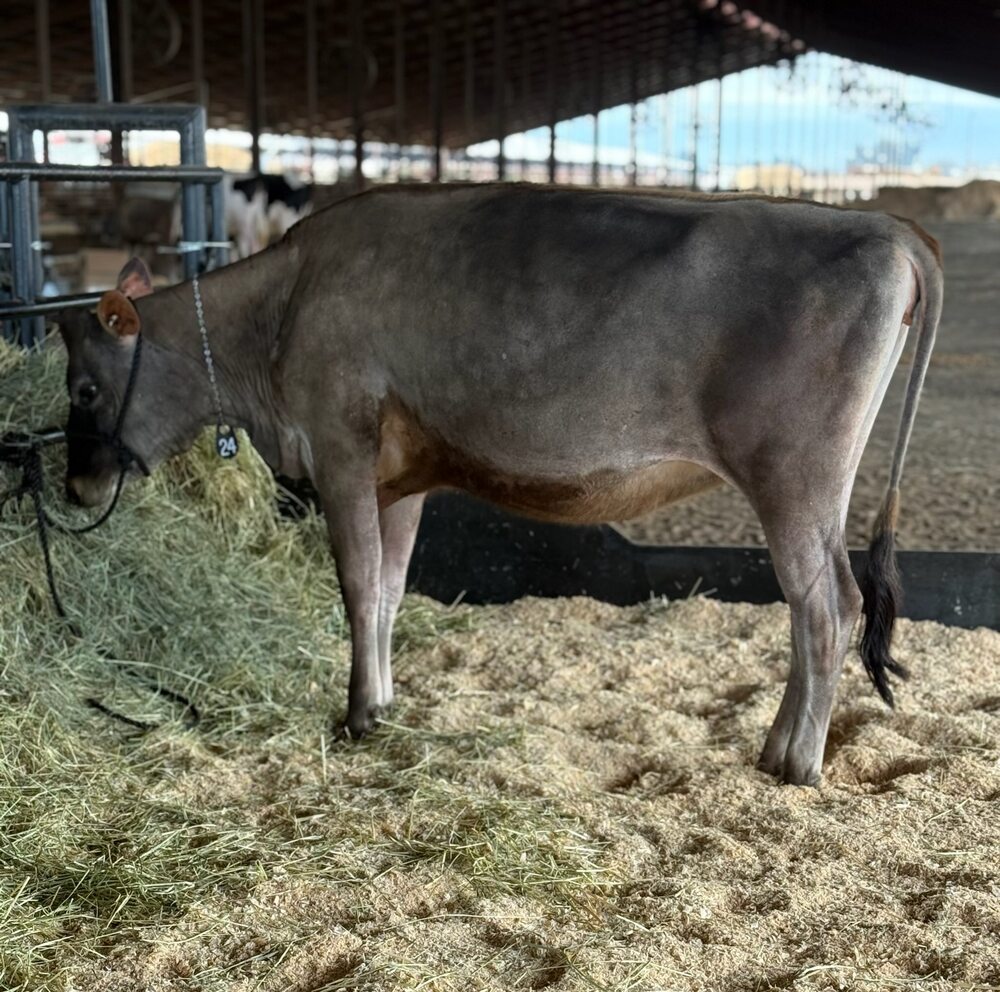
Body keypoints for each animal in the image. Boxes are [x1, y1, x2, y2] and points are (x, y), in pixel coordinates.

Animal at [55, 184, 943, 786]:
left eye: (84, 388)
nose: (74, 488)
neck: (278, 310)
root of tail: (888, 227)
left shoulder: (341, 451)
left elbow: (355, 587)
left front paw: (356, 715)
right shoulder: (399, 480)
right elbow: (388, 589)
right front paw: (384, 703)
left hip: (795, 479)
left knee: (829, 607)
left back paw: (796, 762)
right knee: (807, 611)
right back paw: (774, 747)